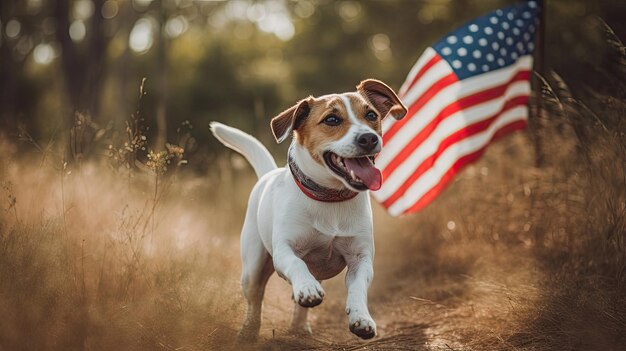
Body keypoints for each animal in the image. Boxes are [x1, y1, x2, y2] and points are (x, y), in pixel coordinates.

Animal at [210, 79, 404, 340]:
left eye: (371, 115)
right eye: (331, 119)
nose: (368, 138)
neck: (330, 198)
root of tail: (267, 174)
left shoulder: (360, 258)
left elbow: (358, 288)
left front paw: (361, 318)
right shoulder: (284, 251)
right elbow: (297, 264)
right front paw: (307, 286)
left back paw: (300, 327)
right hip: (253, 266)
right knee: (255, 300)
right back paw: (250, 331)